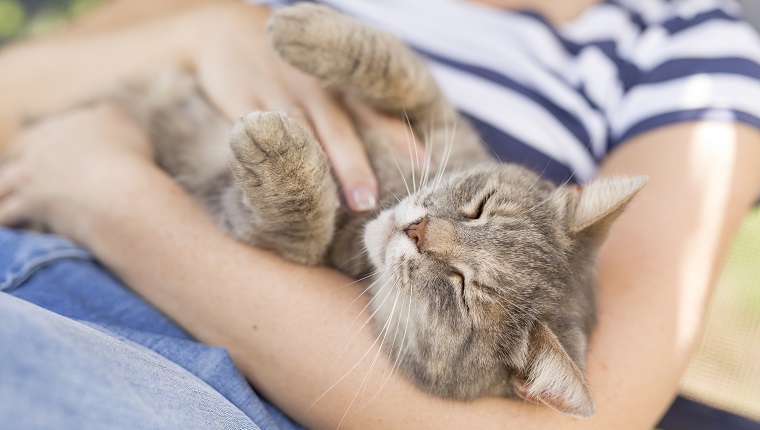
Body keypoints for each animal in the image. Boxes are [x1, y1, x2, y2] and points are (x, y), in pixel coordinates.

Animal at [114, 1, 648, 418]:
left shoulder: (275, 238)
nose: (416, 229)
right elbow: (404, 72)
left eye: (462, 291)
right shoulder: (441, 123)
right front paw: (301, 29)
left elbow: (297, 224)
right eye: (479, 208)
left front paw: (277, 151)